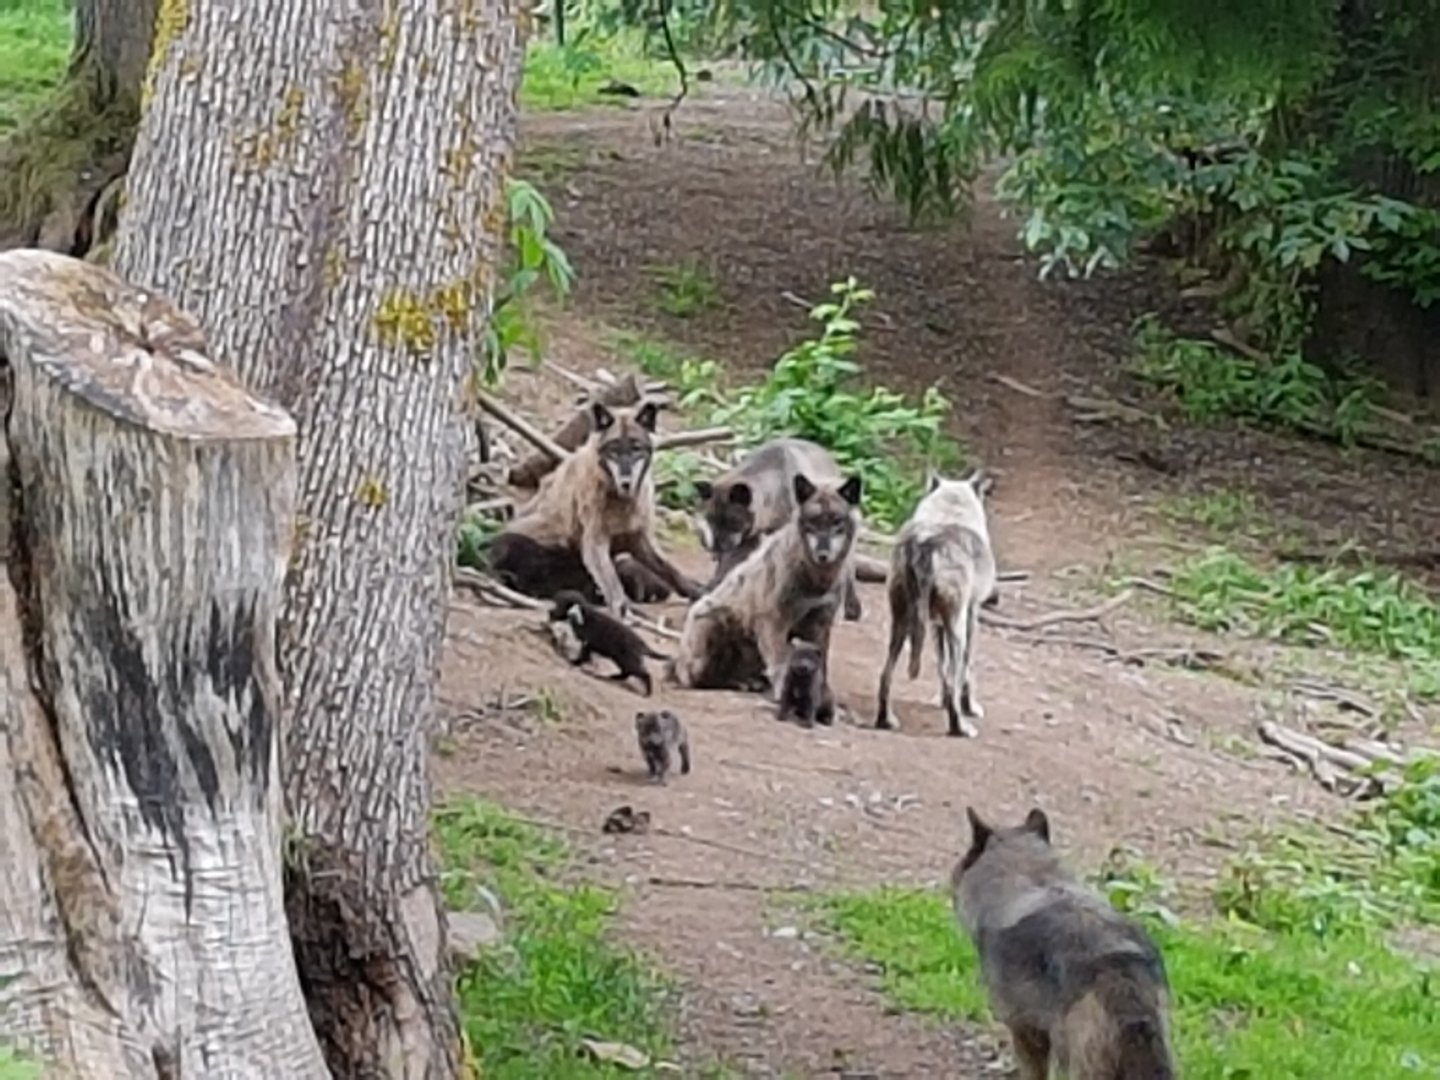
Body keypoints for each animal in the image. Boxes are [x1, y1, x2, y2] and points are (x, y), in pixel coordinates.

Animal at [489, 400, 704, 614]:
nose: (626, 482)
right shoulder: (595, 543)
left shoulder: (641, 540)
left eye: (636, 449)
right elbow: (613, 584)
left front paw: (695, 592)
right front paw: (621, 607)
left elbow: (671, 570)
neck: (621, 503)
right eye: (614, 450)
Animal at [670, 472, 862, 694]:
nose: (822, 554)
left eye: (837, 521)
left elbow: (821, 665)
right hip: (714, 620)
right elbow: (780, 664)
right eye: (812, 521)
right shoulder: (773, 621)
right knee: (704, 679)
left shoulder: (820, 624)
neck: (816, 580)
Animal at [693, 437, 863, 620]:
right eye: (711, 519)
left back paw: (852, 607)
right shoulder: (746, 539)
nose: (715, 548)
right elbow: (731, 567)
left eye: (732, 521)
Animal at [874, 468, 998, 737]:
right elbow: (964, 671)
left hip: (901, 624)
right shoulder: (970, 617)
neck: (951, 510)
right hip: (956, 628)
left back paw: (885, 720)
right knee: (954, 679)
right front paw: (970, 706)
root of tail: (924, 543)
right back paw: (960, 727)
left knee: (885, 675)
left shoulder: (935, 624)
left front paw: (942, 701)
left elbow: (942, 666)